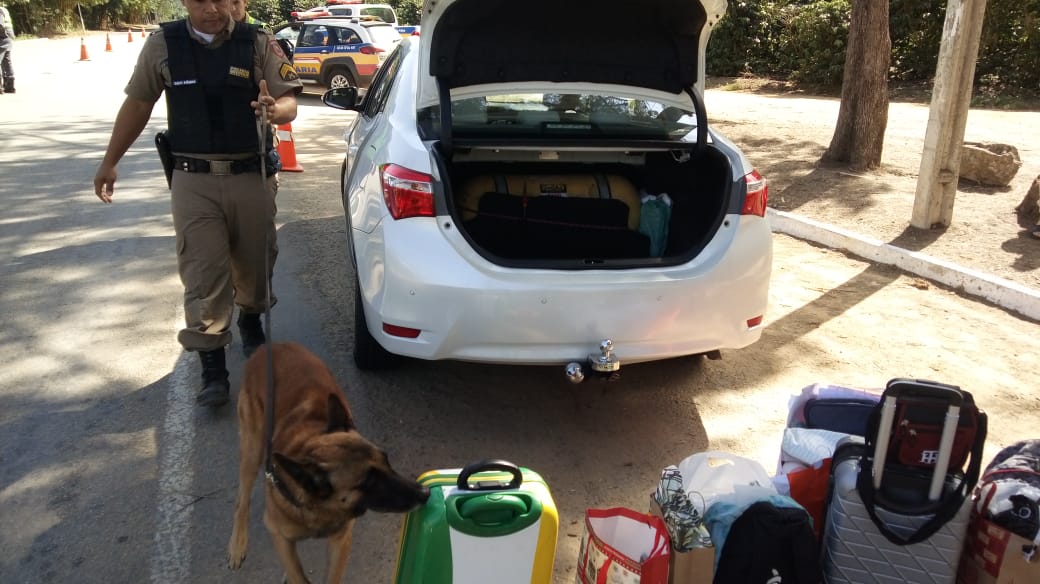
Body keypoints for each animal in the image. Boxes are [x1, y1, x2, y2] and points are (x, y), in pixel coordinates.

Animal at [227, 342, 430, 583]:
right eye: (368, 481)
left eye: (386, 459)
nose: (425, 492)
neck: (319, 506)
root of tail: (269, 346)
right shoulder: (278, 534)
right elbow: (298, 575)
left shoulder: (340, 542)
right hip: (252, 449)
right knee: (242, 500)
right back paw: (237, 544)